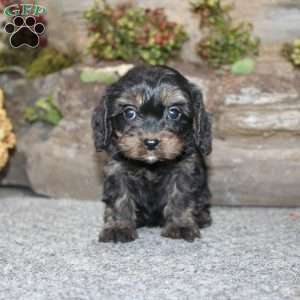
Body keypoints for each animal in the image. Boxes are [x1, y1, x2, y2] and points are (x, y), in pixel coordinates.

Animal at [92, 65, 212, 241]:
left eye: (174, 112)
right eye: (129, 113)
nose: (151, 142)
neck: (151, 165)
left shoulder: (185, 168)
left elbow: (180, 197)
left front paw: (180, 225)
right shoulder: (117, 170)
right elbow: (119, 198)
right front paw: (118, 227)